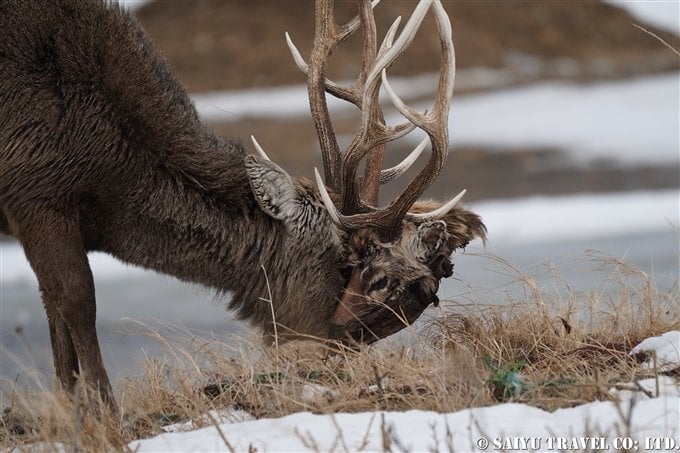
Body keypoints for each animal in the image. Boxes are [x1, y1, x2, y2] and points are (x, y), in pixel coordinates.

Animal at [0, 0, 488, 412]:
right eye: (353, 264)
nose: (346, 337)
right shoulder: (35, 194)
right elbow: (76, 299)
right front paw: (102, 414)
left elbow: (53, 307)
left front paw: (71, 410)